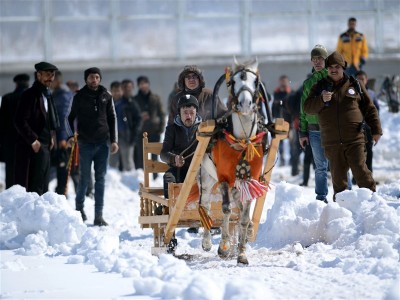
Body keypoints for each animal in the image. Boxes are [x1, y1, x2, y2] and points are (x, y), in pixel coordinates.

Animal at [199, 58, 268, 264]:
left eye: (255, 82)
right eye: (233, 81)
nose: (245, 104)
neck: (243, 141)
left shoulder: (251, 180)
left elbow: (244, 215)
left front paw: (242, 252)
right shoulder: (223, 178)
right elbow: (226, 209)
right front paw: (224, 246)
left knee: (239, 205)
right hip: (206, 176)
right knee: (205, 204)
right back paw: (207, 242)